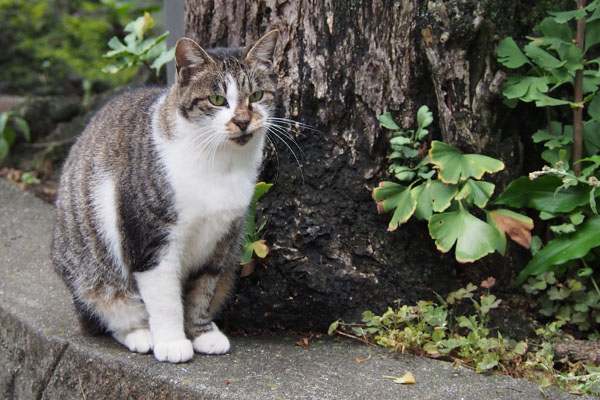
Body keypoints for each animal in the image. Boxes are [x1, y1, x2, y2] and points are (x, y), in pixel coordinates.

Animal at [50, 30, 280, 362]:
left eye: (258, 96)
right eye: (217, 100)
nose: (242, 121)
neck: (220, 164)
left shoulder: (220, 242)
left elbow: (203, 291)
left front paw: (202, 333)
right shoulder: (151, 243)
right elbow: (166, 299)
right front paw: (172, 342)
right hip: (92, 274)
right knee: (108, 310)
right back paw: (140, 334)